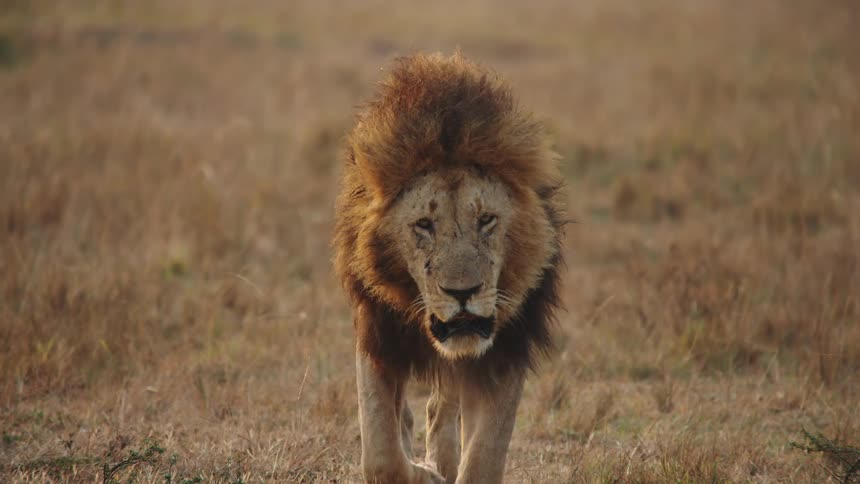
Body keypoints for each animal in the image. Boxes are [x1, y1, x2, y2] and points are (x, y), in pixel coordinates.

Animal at [334, 52, 564, 483]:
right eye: (424, 225)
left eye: (486, 220)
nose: (462, 293)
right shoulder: (377, 332)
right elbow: (381, 455)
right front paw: (422, 473)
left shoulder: (506, 348)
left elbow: (484, 459)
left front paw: (441, 468)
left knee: (441, 409)